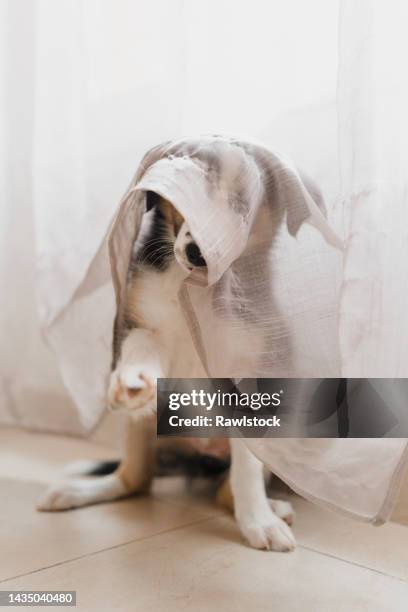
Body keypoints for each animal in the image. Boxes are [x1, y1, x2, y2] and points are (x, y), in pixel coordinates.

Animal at [38, 194, 294, 552]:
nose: (198, 252)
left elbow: (247, 466)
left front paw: (260, 522)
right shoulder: (142, 321)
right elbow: (144, 345)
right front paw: (134, 378)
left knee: (224, 491)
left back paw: (270, 509)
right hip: (140, 425)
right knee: (135, 479)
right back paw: (76, 491)